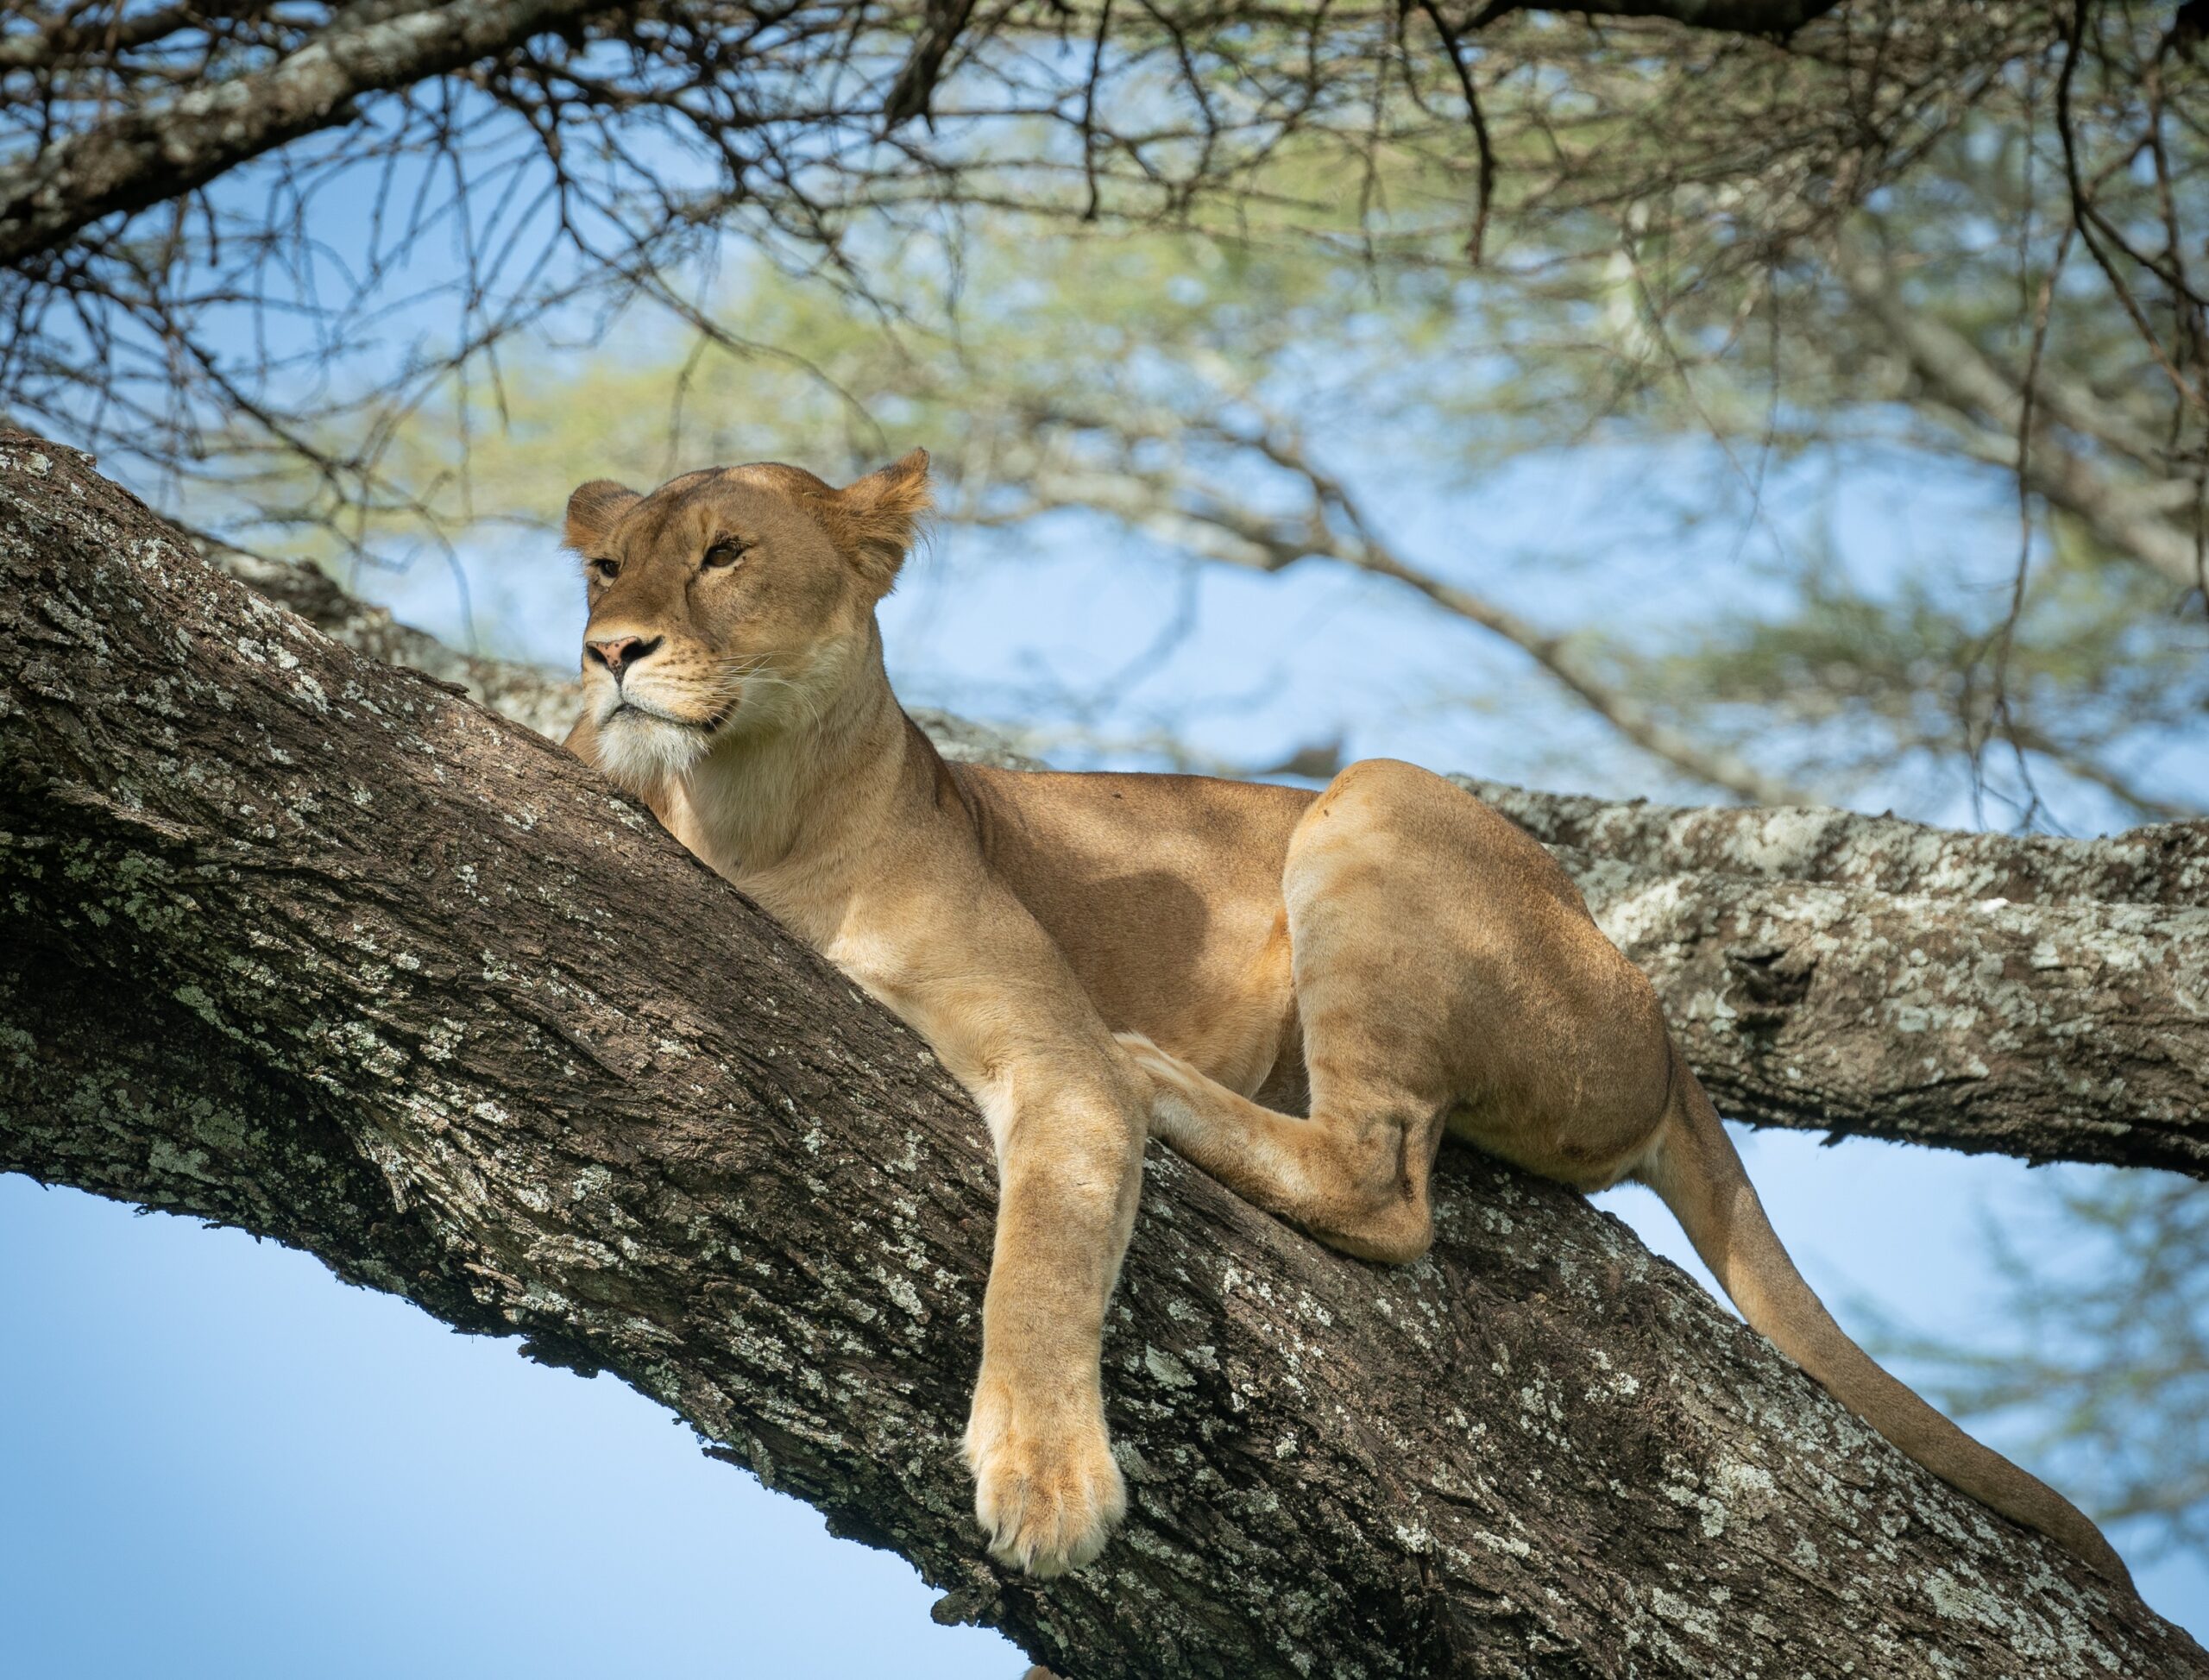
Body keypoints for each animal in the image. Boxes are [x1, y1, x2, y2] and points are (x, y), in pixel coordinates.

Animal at [558, 450, 2130, 1589]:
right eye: (604, 563)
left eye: (725, 555)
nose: (607, 650)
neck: (750, 809)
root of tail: (1668, 1032)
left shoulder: (1047, 1048)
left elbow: (1045, 1257)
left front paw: (1048, 1481)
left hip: (1373, 799)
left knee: (1381, 1180)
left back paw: (1169, 1076)